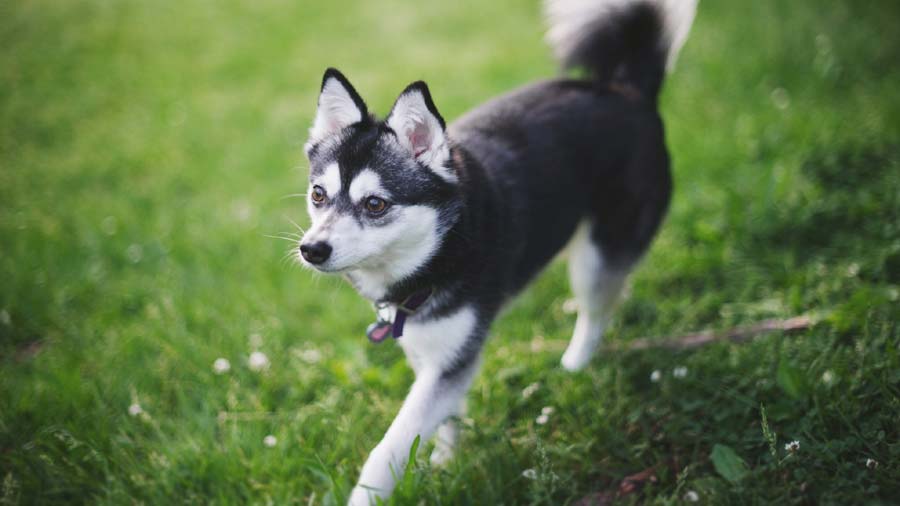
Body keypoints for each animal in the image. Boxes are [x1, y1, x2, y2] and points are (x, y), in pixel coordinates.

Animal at [296, 0, 696, 502]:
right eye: (319, 195)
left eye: (375, 204)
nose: (311, 249)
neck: (441, 247)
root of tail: (625, 89)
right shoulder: (433, 351)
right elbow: (444, 417)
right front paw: (447, 463)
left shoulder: (451, 356)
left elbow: (390, 446)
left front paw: (368, 494)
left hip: (596, 256)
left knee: (597, 312)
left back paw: (574, 368)